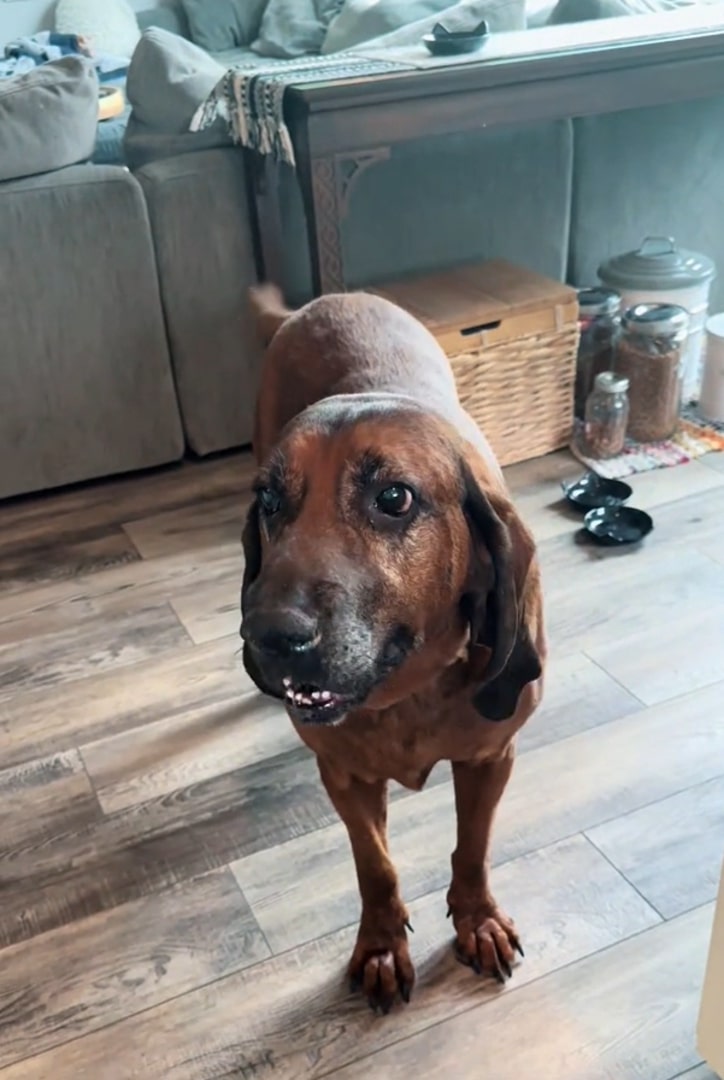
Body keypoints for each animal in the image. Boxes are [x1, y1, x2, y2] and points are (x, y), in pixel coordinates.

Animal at [240, 285, 546, 1010]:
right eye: (269, 501)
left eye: (395, 498)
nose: (267, 637)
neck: (408, 689)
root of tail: (326, 299)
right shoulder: (344, 776)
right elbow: (374, 864)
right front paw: (380, 945)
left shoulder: (492, 757)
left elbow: (472, 846)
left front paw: (478, 919)